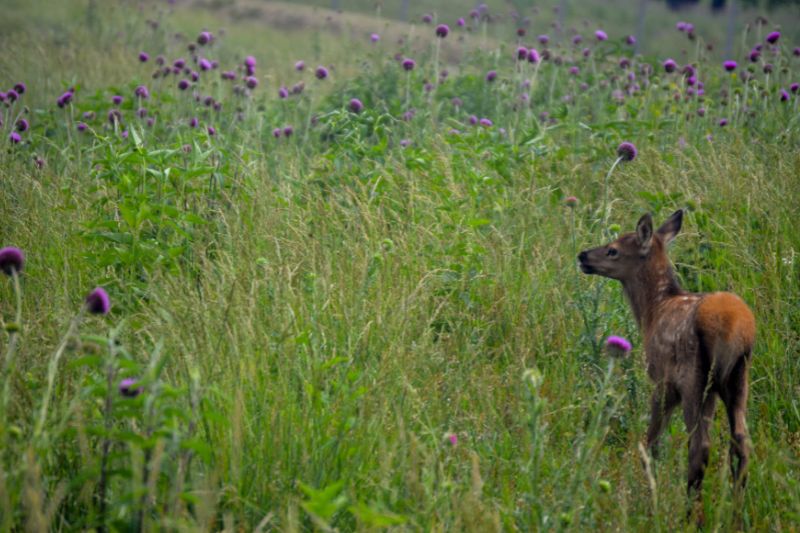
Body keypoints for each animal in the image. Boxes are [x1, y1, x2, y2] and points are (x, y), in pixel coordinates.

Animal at [577, 209, 755, 523]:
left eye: (613, 250)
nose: (583, 255)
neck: (652, 311)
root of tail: (737, 328)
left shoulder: (662, 380)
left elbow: (651, 442)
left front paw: (650, 496)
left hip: (693, 378)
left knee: (700, 446)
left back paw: (691, 515)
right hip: (736, 378)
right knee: (741, 442)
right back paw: (736, 514)